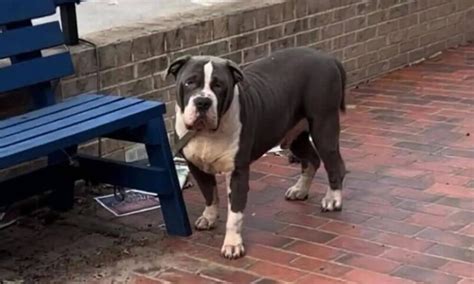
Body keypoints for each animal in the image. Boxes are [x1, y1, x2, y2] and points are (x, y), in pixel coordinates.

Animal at [168, 47, 346, 260]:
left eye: (218, 85)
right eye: (189, 82)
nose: (203, 101)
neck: (206, 134)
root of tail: (328, 57)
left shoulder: (237, 172)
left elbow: (235, 215)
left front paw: (233, 245)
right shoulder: (196, 166)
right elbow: (209, 193)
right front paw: (209, 217)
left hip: (323, 126)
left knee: (334, 164)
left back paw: (332, 199)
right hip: (295, 136)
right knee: (312, 159)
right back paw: (300, 190)